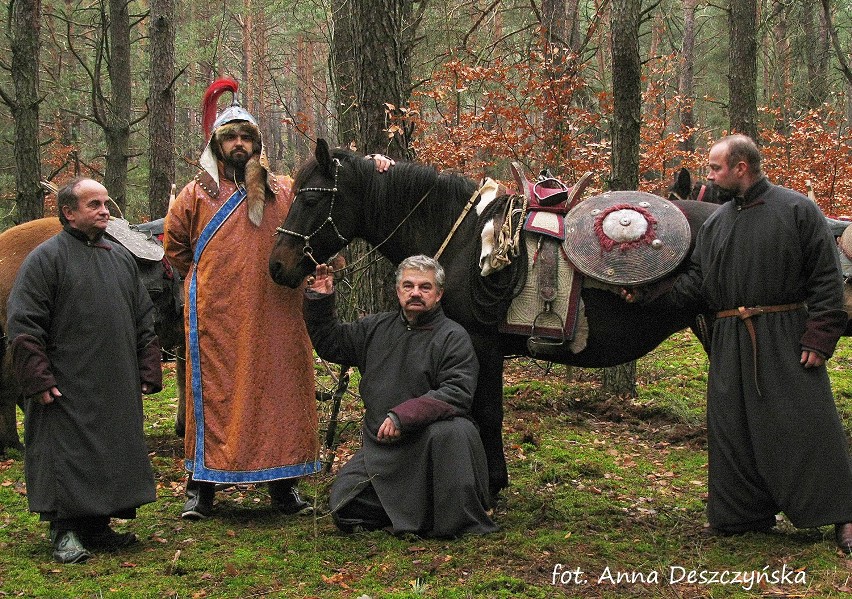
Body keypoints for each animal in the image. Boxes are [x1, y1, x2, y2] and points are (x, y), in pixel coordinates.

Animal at [270, 139, 724, 492]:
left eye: (310, 198)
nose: (276, 266)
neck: (464, 240)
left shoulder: (481, 344)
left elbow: (486, 411)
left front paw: (491, 484)